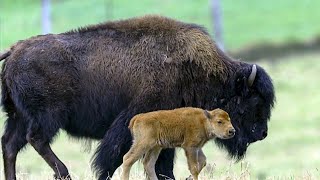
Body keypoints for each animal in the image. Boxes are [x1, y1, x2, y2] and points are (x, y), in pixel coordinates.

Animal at [0, 15, 276, 180]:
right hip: (47, 117)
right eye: (253, 101)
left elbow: (163, 165)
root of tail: (14, 51)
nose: (262, 133)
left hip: (18, 117)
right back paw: (64, 173)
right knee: (36, 139)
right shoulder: (132, 124)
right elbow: (112, 159)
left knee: (10, 145)